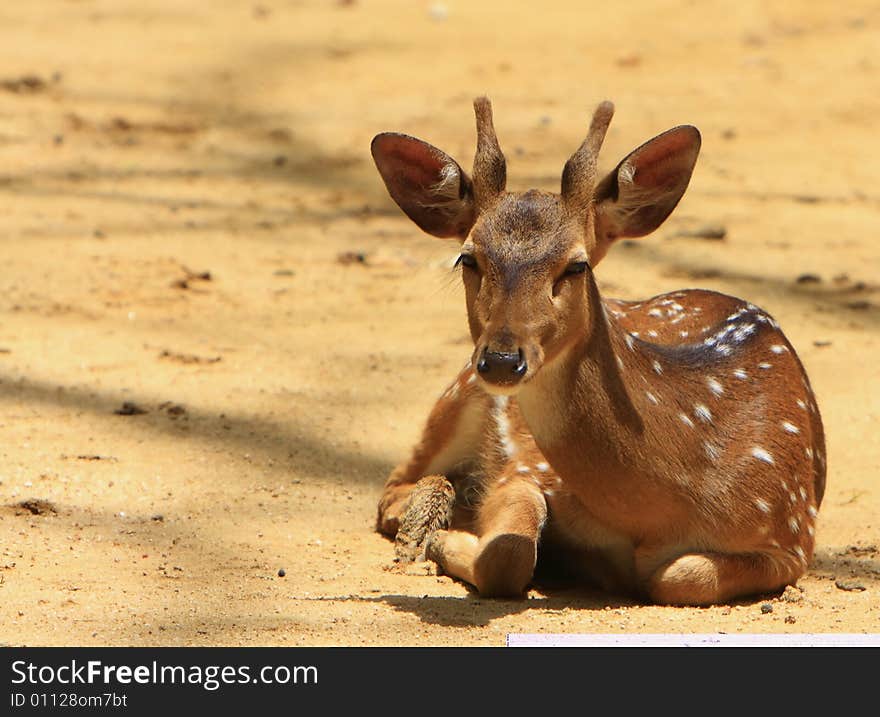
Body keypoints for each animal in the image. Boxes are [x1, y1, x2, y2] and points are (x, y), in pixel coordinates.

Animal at [372, 96, 824, 604]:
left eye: (577, 265)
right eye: (468, 258)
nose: (503, 360)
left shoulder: (791, 531)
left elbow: (680, 576)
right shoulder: (525, 466)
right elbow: (508, 553)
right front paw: (447, 538)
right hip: (458, 391)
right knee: (394, 487)